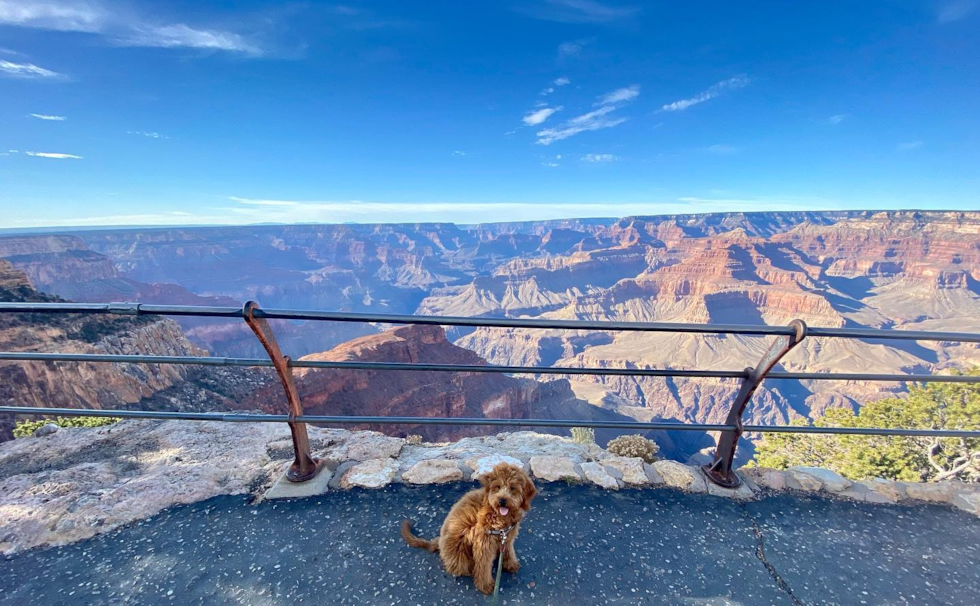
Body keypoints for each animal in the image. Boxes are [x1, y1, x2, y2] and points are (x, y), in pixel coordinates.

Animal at [400, 464, 536, 596]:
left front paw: (511, 564)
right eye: (497, 486)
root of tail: (438, 542)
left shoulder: (506, 536)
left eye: (513, 488)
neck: (496, 514)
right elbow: (483, 565)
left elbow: (508, 550)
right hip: (460, 554)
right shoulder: (483, 542)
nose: (502, 500)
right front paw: (485, 585)